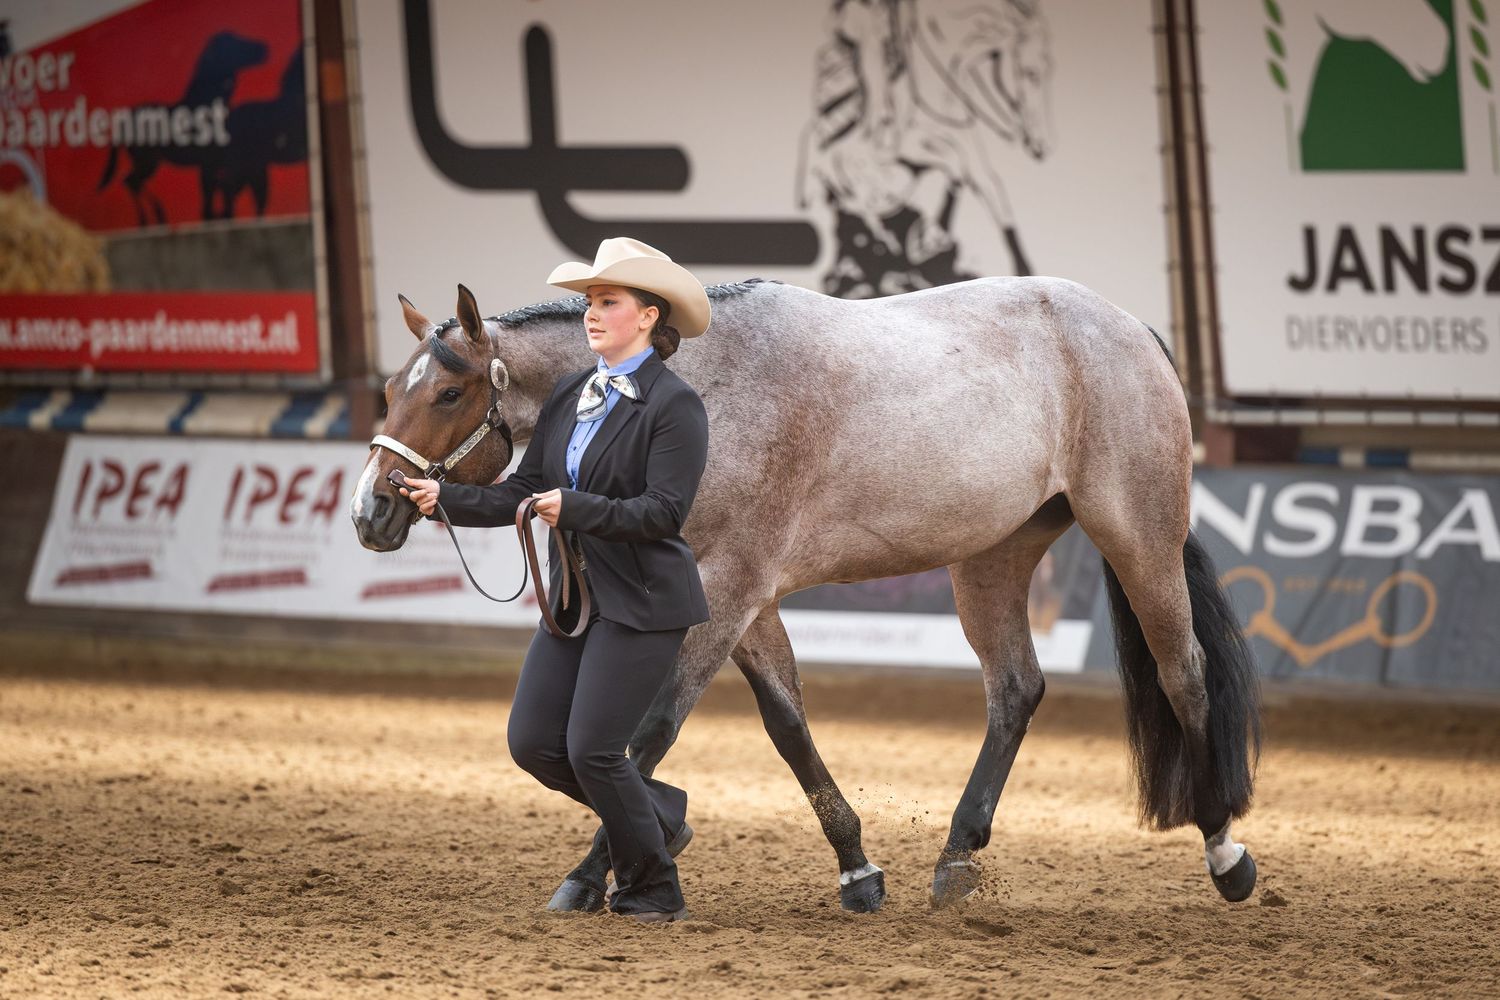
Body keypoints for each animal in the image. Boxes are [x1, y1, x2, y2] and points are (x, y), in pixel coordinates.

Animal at [350, 276, 1262, 913]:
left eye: (448, 392)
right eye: (390, 390)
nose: (370, 511)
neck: (707, 391)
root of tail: (1132, 330)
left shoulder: (728, 587)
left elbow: (647, 734)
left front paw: (592, 873)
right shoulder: (746, 598)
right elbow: (787, 726)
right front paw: (856, 869)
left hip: (1138, 538)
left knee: (1184, 676)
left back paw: (1225, 854)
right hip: (992, 559)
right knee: (1016, 690)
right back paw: (957, 855)